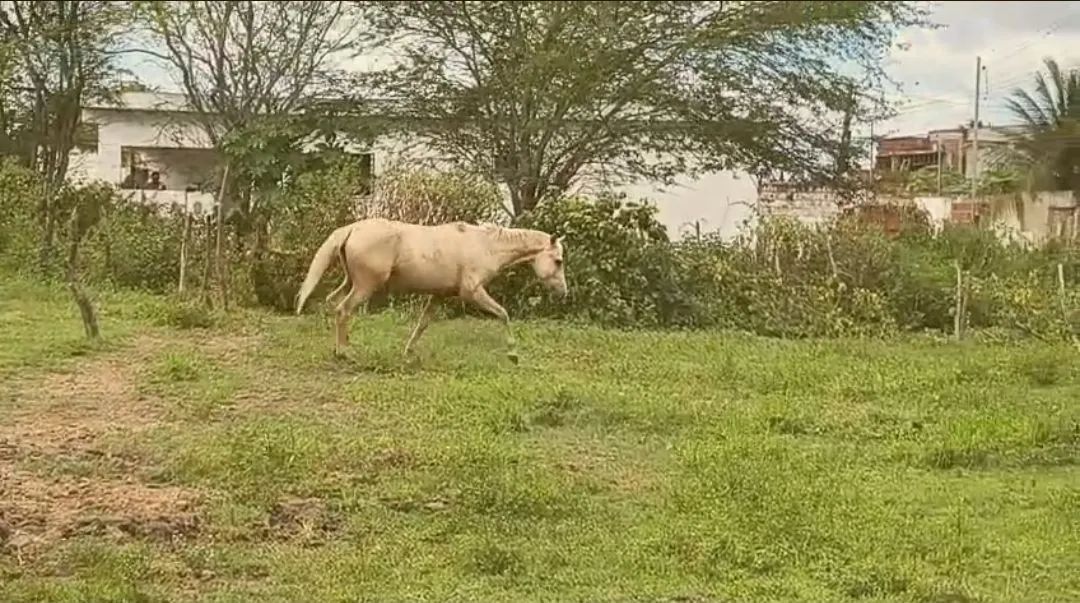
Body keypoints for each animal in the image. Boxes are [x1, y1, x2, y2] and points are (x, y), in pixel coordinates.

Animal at [295, 218, 568, 362]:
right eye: (558, 261)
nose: (563, 292)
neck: (485, 246)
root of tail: (352, 229)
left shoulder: (439, 295)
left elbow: (423, 323)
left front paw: (408, 353)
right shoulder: (472, 292)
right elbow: (503, 314)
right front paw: (513, 354)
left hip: (351, 282)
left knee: (333, 303)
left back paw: (339, 348)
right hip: (365, 286)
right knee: (343, 310)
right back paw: (345, 353)